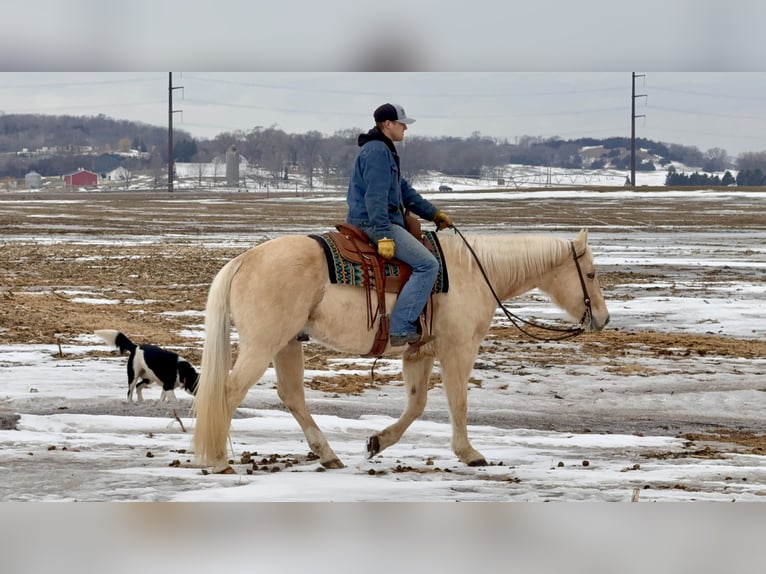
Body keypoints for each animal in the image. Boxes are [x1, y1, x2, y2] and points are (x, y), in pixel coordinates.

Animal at [192, 228, 610, 474]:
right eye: (590, 274)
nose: (603, 319)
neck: (475, 273)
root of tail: (244, 260)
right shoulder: (459, 348)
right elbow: (458, 402)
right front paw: (470, 453)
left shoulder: (419, 353)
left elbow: (416, 405)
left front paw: (377, 442)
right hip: (263, 344)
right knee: (228, 392)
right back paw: (219, 460)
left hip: (287, 343)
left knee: (292, 396)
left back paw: (329, 455)